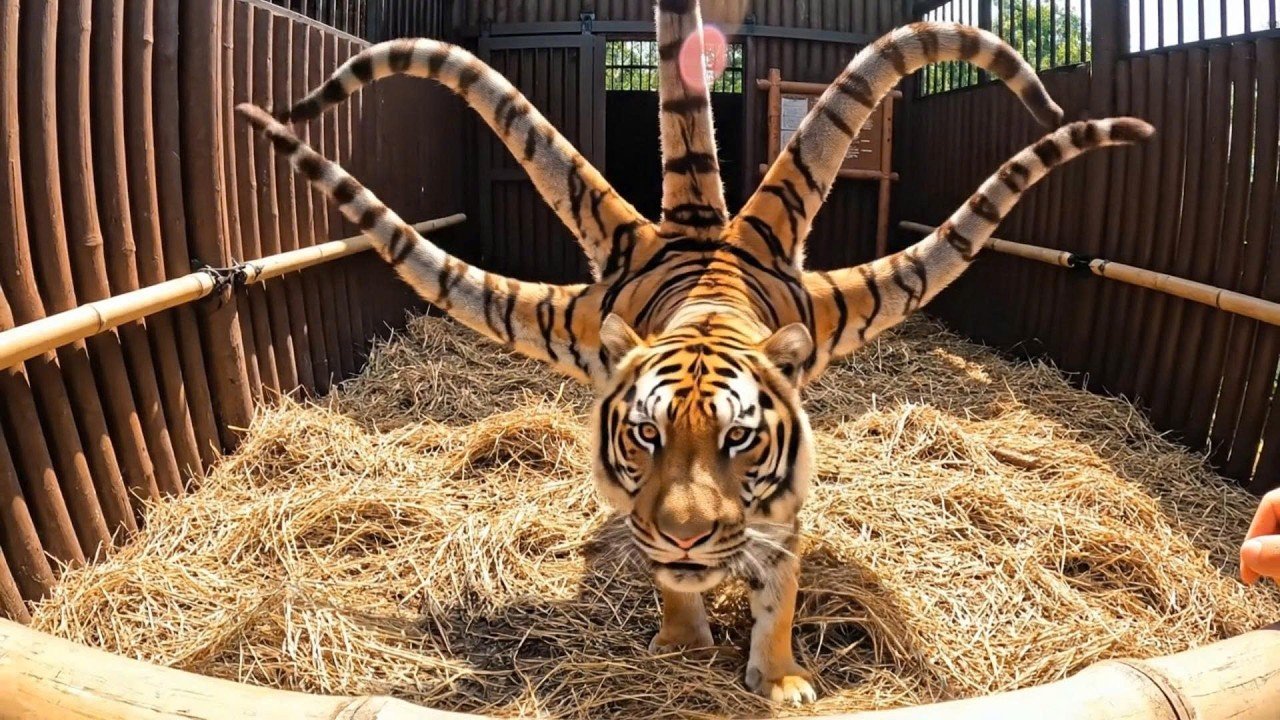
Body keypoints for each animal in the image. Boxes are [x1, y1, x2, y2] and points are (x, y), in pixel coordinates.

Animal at [237, 0, 1153, 705]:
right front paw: (683, 642)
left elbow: (779, 590)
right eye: (645, 433)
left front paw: (780, 678)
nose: (682, 535)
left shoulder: (784, 508)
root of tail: (699, 238)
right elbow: (670, 583)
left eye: (740, 436)